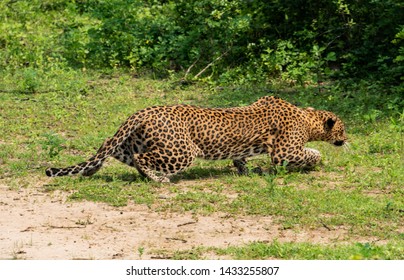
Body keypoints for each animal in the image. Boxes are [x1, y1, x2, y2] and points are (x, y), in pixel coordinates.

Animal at [45, 95, 348, 184]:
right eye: (343, 129)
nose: (348, 138)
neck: (307, 118)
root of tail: (143, 111)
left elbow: (240, 158)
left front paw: (248, 171)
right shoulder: (285, 150)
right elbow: (312, 153)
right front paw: (314, 161)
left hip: (135, 141)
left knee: (110, 146)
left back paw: (93, 170)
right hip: (181, 150)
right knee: (141, 159)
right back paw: (158, 179)